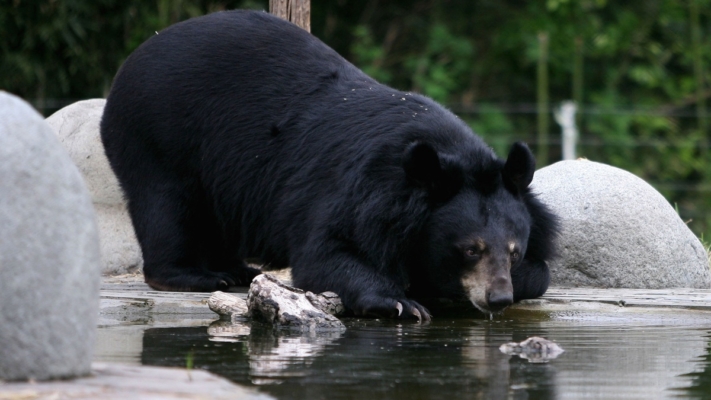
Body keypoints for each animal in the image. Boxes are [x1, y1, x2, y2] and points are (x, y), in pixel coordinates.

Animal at [101, 10, 556, 322]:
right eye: (470, 249)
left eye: (513, 251)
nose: (497, 298)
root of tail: (135, 58)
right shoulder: (356, 191)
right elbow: (327, 253)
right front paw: (402, 302)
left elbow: (543, 272)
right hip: (159, 134)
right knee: (167, 205)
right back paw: (200, 276)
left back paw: (235, 268)